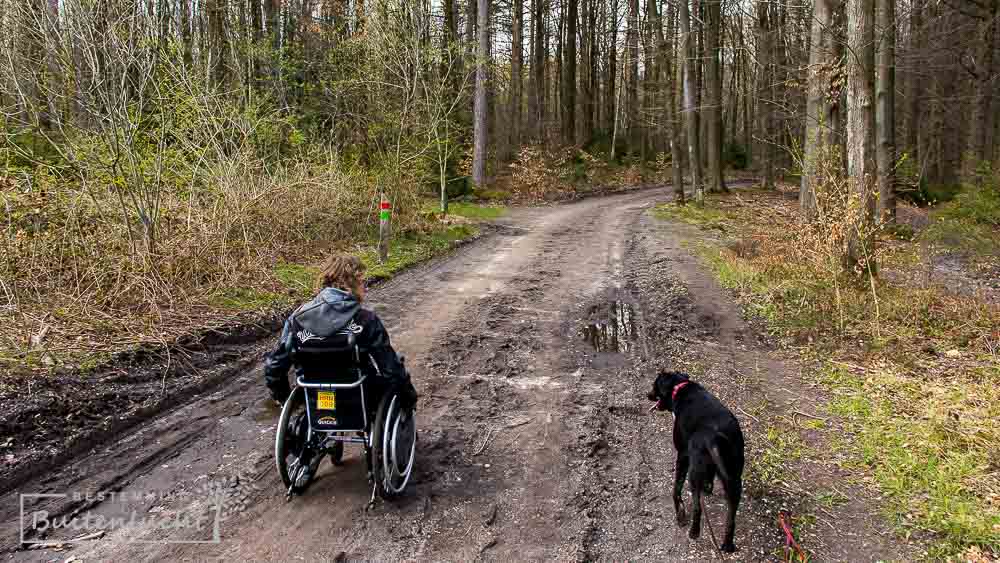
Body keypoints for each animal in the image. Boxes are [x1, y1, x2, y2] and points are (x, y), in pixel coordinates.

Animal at [648, 372, 744, 552]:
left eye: (654, 385)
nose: (647, 395)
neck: (680, 387)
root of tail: (714, 436)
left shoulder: (683, 456)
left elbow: (676, 490)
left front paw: (680, 515)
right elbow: (710, 478)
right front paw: (708, 488)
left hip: (694, 473)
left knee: (697, 507)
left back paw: (693, 532)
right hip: (735, 480)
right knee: (731, 519)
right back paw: (727, 545)